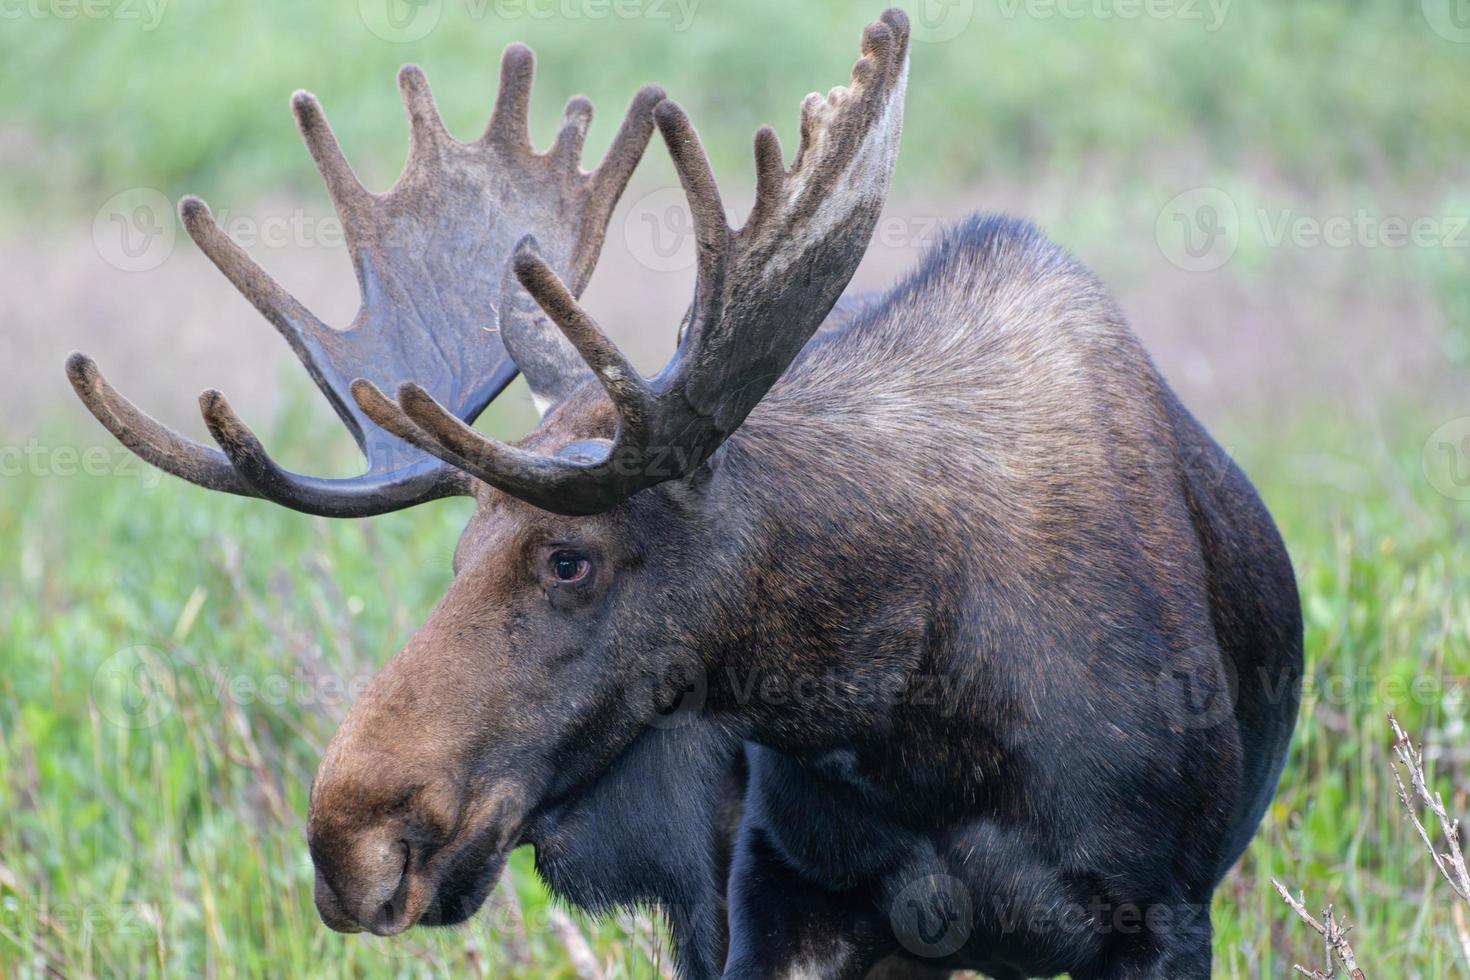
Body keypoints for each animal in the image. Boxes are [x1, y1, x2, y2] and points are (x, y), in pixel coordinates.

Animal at [74, 9, 1305, 980]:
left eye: (570, 556)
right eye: (458, 551)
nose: (351, 842)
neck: (914, 710)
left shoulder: (1163, 916)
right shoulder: (776, 904)